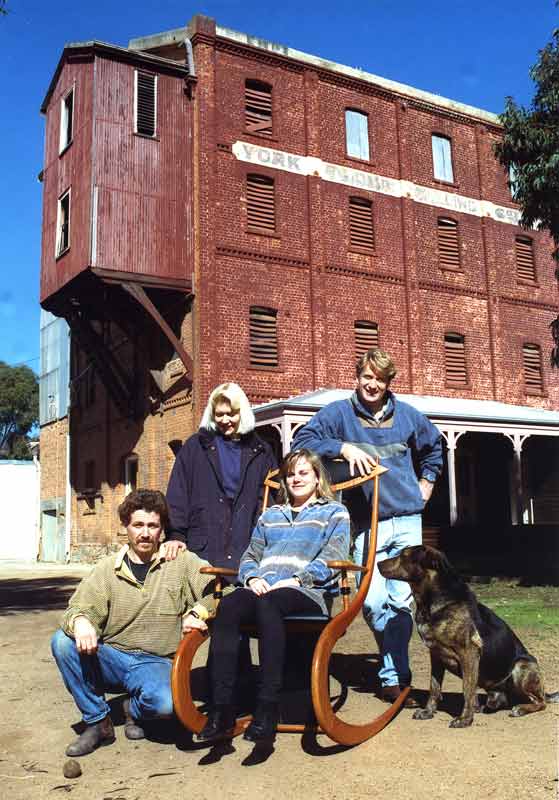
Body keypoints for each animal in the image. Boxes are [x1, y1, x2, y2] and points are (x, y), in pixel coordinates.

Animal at [378, 548, 556, 728]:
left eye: (404, 556)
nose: (378, 563)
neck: (431, 601)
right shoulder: (435, 655)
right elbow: (434, 688)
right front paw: (428, 712)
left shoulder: (469, 652)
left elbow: (467, 690)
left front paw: (465, 719)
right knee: (502, 700)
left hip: (521, 666)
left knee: (541, 702)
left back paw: (520, 708)